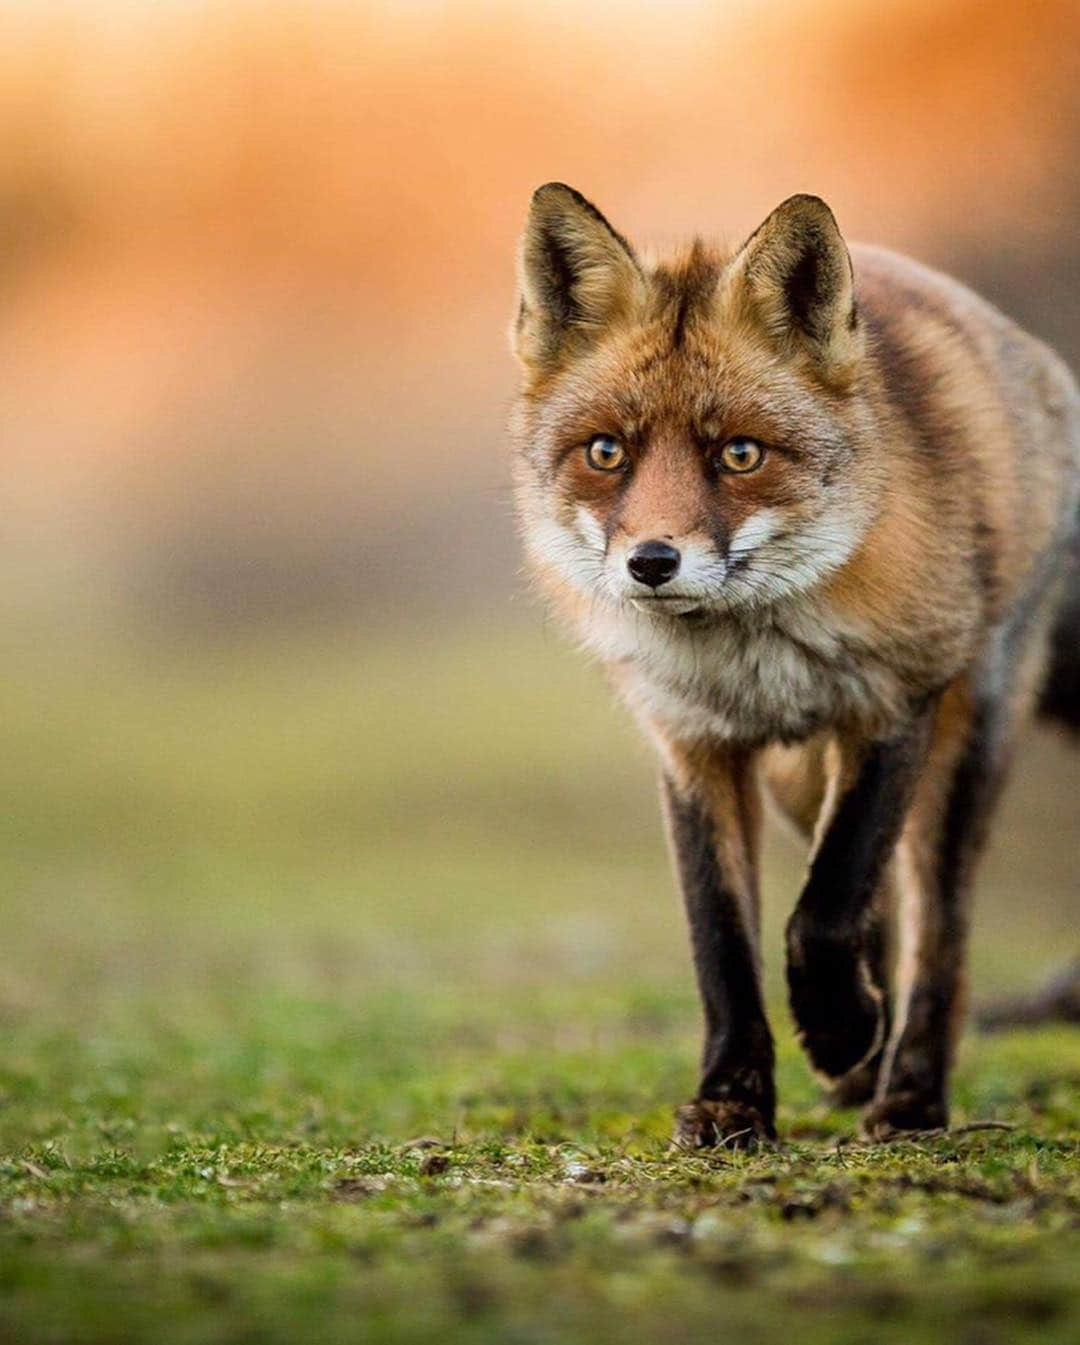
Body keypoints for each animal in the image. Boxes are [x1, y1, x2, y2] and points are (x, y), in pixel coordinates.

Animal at [505, 181, 1080, 1145]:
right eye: (606, 452)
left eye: (739, 453)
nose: (651, 562)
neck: (754, 662)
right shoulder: (693, 745)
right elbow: (724, 944)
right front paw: (734, 1097)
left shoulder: (894, 705)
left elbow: (827, 906)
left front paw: (842, 1025)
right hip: (796, 781)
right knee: (880, 910)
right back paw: (862, 1063)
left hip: (969, 740)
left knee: (938, 930)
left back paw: (907, 1091)